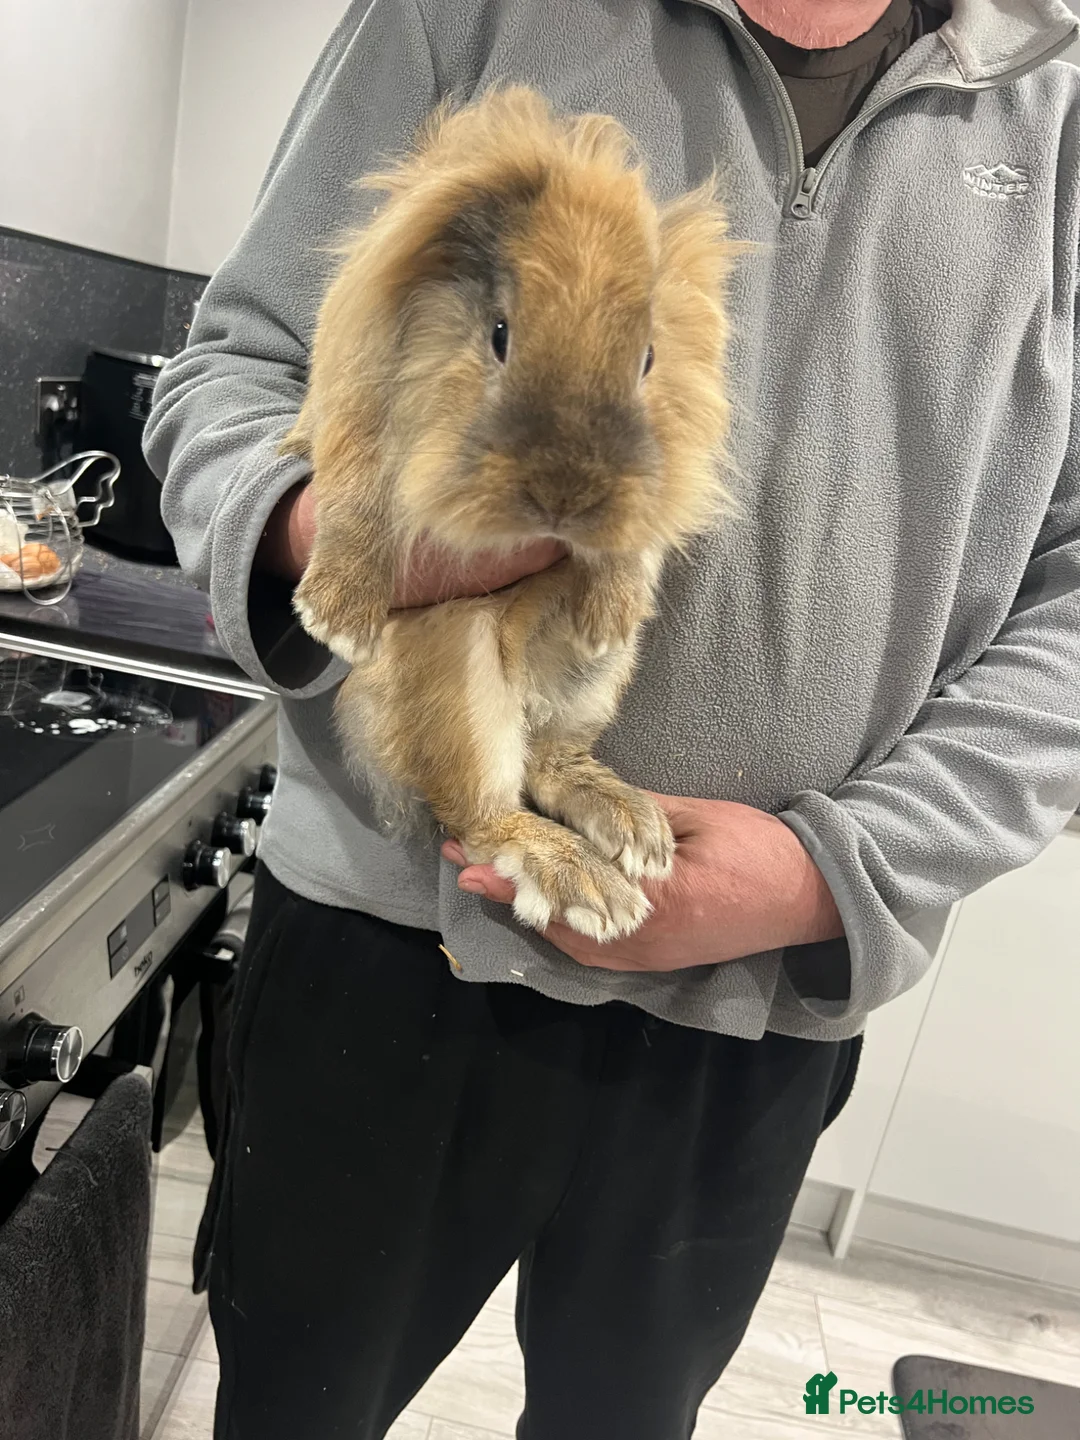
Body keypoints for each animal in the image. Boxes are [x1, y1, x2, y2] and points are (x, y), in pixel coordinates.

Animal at [283, 83, 735, 942]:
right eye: (499, 335)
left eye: (647, 360)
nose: (565, 495)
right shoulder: (359, 404)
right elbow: (357, 495)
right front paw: (336, 621)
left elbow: (632, 542)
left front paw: (610, 609)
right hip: (457, 678)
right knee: (485, 811)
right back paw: (585, 884)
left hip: (594, 687)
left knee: (551, 762)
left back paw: (631, 830)